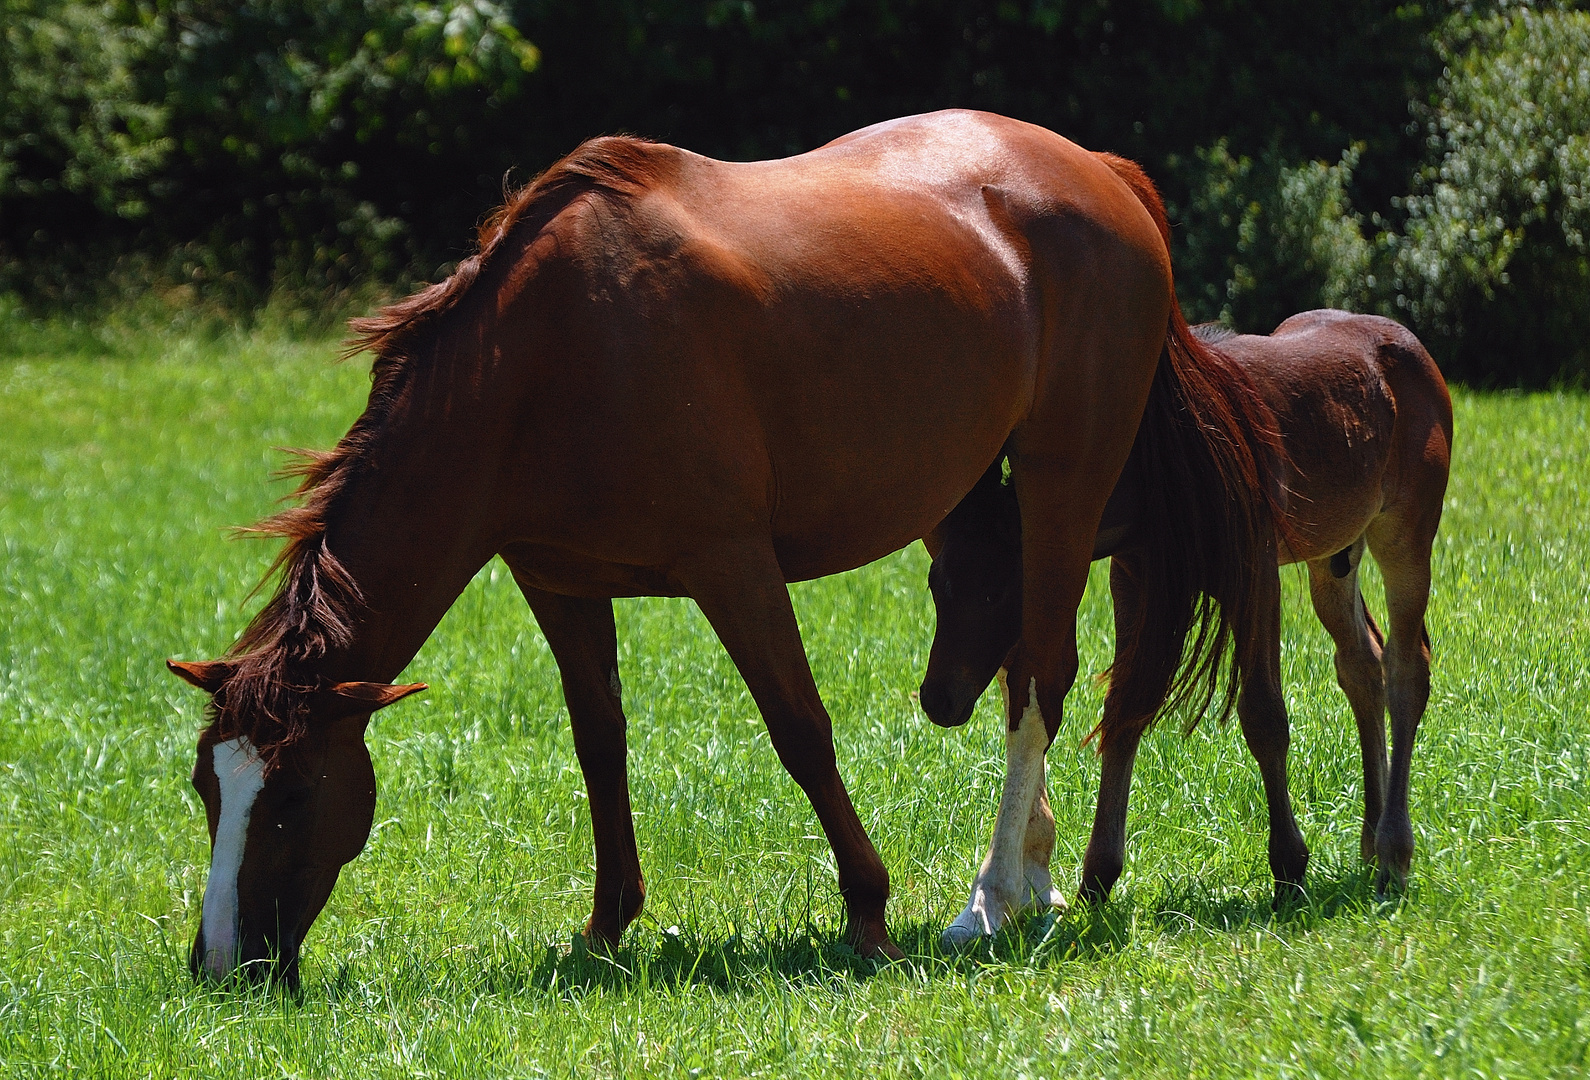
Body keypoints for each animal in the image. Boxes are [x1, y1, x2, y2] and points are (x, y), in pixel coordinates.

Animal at [164, 112, 1278, 986]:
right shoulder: (557, 582)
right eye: (207, 788)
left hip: (1062, 479)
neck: (550, 354)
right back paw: (1038, 879)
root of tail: (1101, 170)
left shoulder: (732, 566)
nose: (221, 965)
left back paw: (993, 895)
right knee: (1021, 672)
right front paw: (607, 925)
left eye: (293, 795)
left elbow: (801, 731)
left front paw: (869, 914)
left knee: (1043, 674)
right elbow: (599, 743)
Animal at [922, 306, 1456, 947]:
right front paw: (1097, 877)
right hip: (1335, 553)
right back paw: (1371, 842)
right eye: (936, 583)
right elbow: (1124, 713)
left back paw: (1394, 854)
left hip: (1405, 533)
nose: (938, 699)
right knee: (1362, 663)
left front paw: (1288, 869)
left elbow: (1264, 718)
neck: (1169, 461)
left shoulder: (1255, 575)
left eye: (1000, 591)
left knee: (1406, 667)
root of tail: (1411, 347)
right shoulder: (1136, 578)